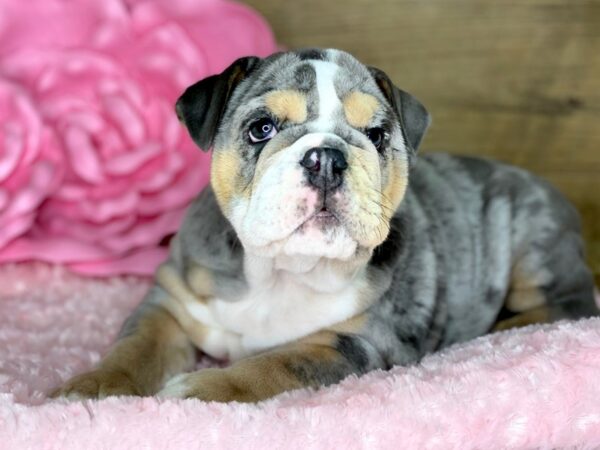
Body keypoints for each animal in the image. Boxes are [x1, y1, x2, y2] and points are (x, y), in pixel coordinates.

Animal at [54, 50, 596, 404]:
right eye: (262, 129)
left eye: (376, 135)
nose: (327, 158)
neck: (284, 270)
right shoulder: (170, 303)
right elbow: (133, 346)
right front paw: (90, 386)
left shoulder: (355, 341)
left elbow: (274, 363)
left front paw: (199, 388)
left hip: (536, 247)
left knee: (566, 307)